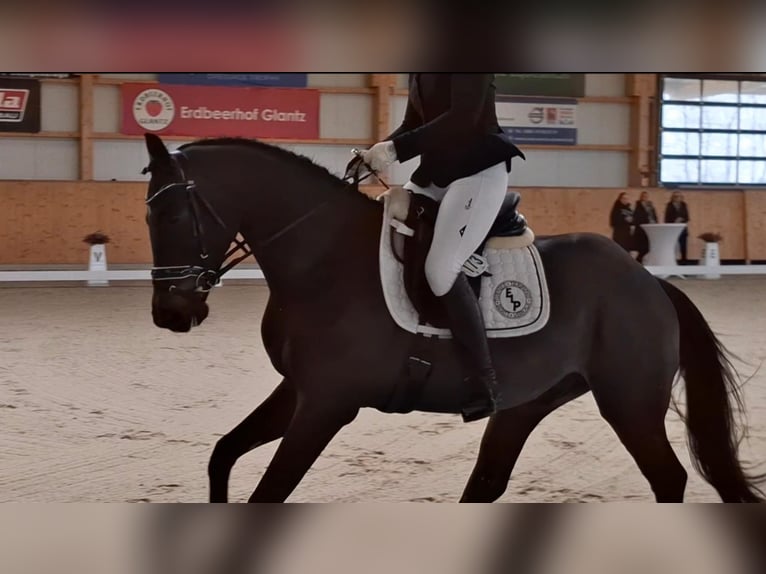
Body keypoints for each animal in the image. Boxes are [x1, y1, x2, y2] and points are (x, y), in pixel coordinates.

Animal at [141, 132, 764, 503]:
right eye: (148, 217)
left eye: (172, 214)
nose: (172, 313)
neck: (320, 256)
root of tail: (649, 283)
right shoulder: (299, 390)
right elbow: (222, 456)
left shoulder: (326, 404)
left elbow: (266, 492)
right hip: (529, 403)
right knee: (487, 482)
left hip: (629, 404)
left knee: (669, 478)